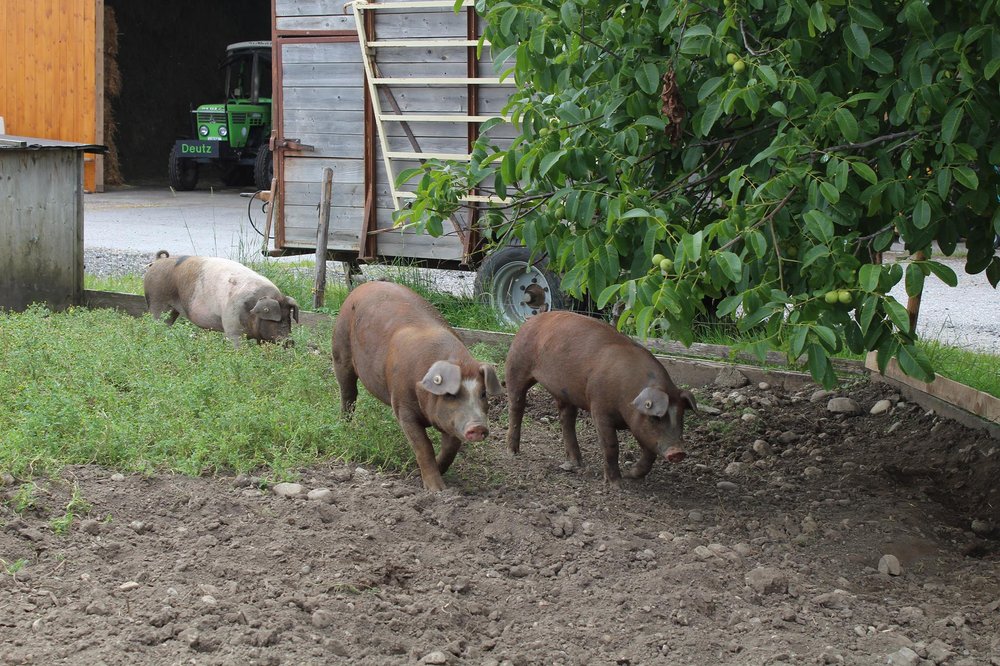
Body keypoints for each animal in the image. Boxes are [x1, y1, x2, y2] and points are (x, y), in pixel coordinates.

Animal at [143, 250, 299, 347]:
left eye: (288, 319)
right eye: (278, 321)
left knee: (167, 322)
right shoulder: (231, 324)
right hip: (157, 301)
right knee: (155, 320)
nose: (290, 341)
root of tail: (157, 261)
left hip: (172, 310)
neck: (252, 309)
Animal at [332, 281, 503, 491]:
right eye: (450, 394)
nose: (478, 427)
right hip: (340, 349)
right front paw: (436, 490)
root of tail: (365, 285)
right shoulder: (403, 407)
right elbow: (423, 446)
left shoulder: (451, 421)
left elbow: (450, 449)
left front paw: (420, 475)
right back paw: (345, 426)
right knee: (348, 393)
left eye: (483, 393)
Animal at [505, 311, 697, 486]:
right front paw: (616, 484)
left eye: (680, 416)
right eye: (656, 417)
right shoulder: (599, 408)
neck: (628, 395)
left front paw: (630, 475)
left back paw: (577, 463)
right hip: (516, 365)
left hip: (564, 392)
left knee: (566, 419)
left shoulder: (639, 426)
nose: (678, 452)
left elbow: (650, 454)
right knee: (516, 405)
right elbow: (611, 446)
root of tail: (532, 319)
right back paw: (513, 452)